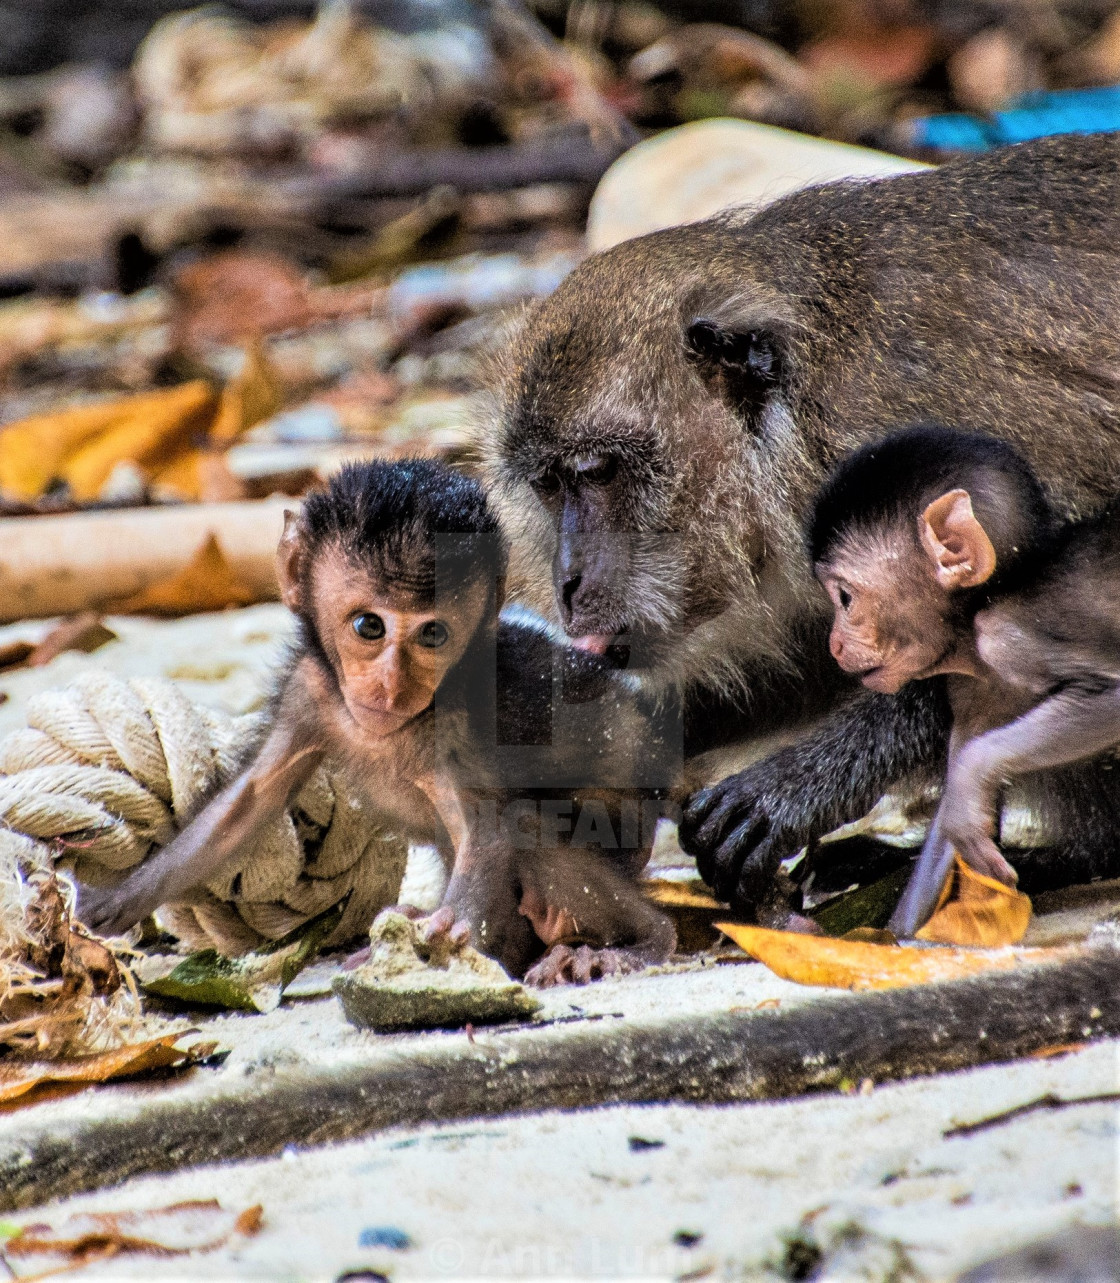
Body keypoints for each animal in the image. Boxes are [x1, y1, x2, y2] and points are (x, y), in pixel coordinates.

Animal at [78, 459, 677, 980]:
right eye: (369, 626)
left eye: (433, 634)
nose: (392, 686)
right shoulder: (309, 691)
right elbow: (245, 806)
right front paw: (113, 904)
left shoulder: (456, 724)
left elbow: (487, 832)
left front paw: (454, 924)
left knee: (532, 827)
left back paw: (643, 941)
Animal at [810, 425, 1118, 939]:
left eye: (845, 599)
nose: (833, 645)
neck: (981, 608)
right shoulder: (967, 685)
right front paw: (891, 938)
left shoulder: (1010, 636)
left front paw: (974, 779)